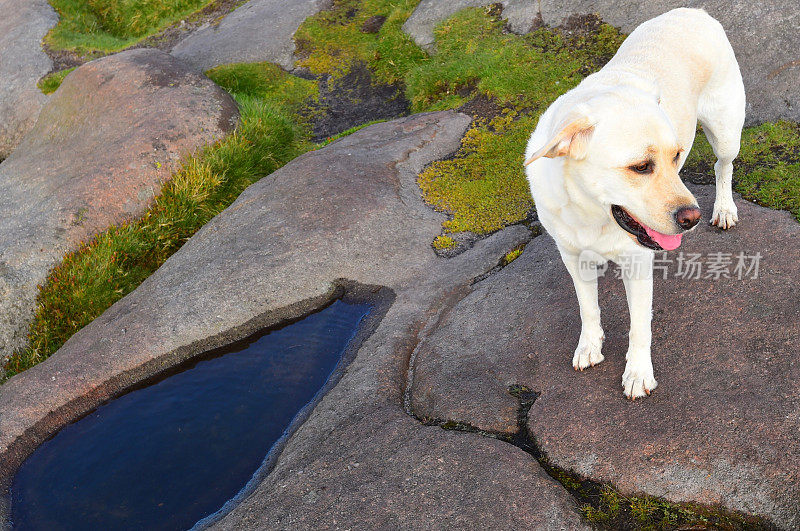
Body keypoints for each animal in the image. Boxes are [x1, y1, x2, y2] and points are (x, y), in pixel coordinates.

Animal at [524, 8, 744, 400]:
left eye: (676, 156)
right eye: (641, 167)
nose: (692, 218)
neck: (591, 214)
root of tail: (693, 11)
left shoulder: (639, 263)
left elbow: (640, 325)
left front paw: (638, 373)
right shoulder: (571, 255)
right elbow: (587, 307)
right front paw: (589, 346)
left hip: (726, 131)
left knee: (723, 166)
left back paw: (724, 207)